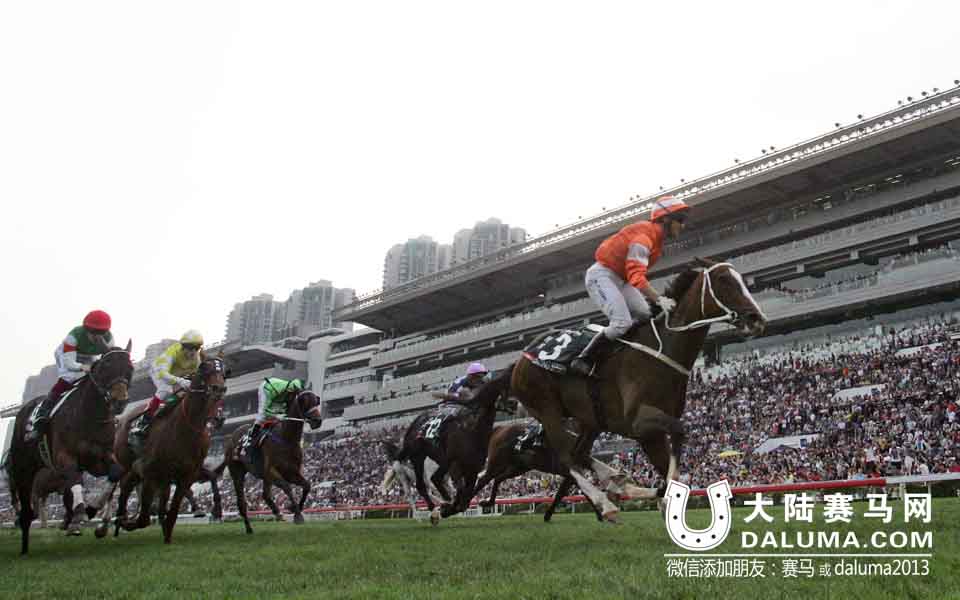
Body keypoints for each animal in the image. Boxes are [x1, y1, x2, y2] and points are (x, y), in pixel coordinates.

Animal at [6, 343, 132, 554]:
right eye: (106, 367)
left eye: (130, 368)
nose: (120, 401)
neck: (90, 416)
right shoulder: (65, 457)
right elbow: (75, 480)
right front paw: (78, 516)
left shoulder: (99, 459)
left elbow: (115, 473)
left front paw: (93, 512)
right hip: (23, 468)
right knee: (25, 501)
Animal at [109, 355, 226, 543]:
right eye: (204, 369)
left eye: (224, 372)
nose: (218, 389)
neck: (187, 428)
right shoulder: (151, 473)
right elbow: (144, 518)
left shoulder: (187, 474)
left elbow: (174, 509)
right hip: (129, 465)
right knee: (125, 487)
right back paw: (118, 521)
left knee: (130, 487)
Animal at [216, 388, 322, 534]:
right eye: (305, 401)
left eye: (316, 401)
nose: (318, 420)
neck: (286, 438)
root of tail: (231, 438)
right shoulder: (272, 471)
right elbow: (287, 487)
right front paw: (297, 515)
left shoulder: (291, 472)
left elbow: (307, 485)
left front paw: (295, 510)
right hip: (237, 473)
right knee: (242, 502)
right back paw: (249, 528)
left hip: (264, 477)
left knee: (265, 494)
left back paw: (277, 512)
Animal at [510, 258, 767, 523]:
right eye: (724, 280)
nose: (756, 318)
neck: (661, 351)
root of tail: (521, 358)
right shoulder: (639, 423)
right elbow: (680, 431)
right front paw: (661, 497)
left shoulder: (651, 433)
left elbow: (669, 457)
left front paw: (663, 500)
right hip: (547, 410)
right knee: (565, 458)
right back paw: (606, 502)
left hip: (590, 420)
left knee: (579, 454)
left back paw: (616, 481)